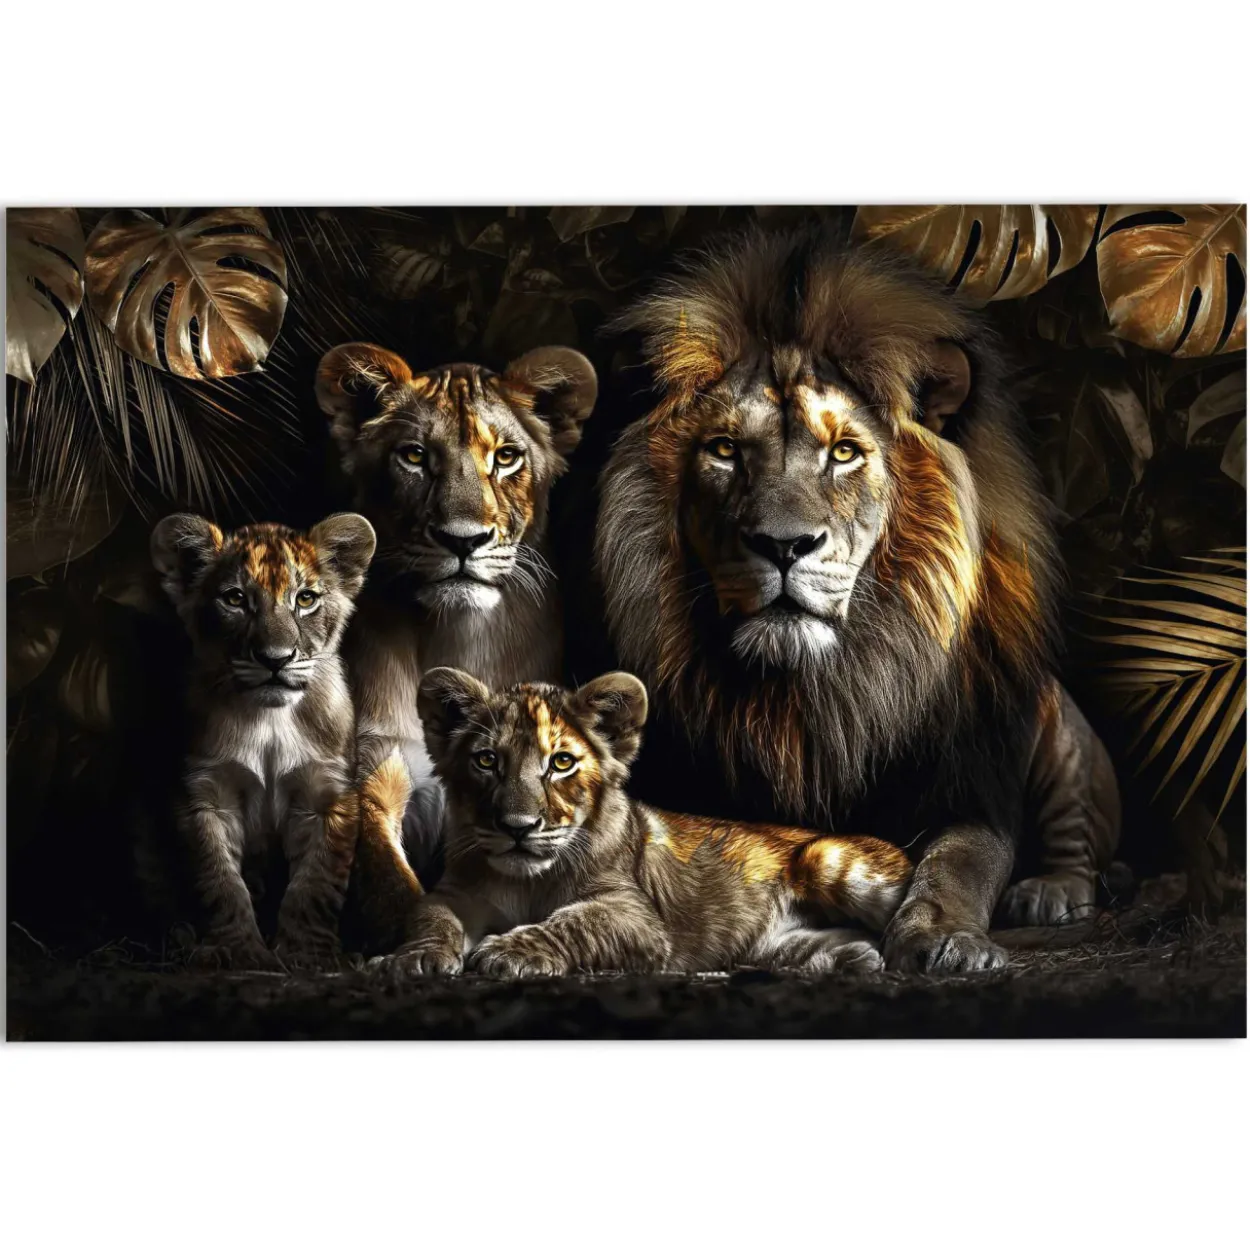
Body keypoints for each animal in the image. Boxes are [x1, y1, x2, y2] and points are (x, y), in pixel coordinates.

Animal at [316, 342, 597, 950]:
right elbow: (386, 876)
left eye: (507, 457)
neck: (454, 635)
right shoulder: (378, 763)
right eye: (415, 456)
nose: (462, 541)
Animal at [594, 226, 1121, 972]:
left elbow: (960, 864)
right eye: (724, 449)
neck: (815, 695)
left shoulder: (969, 784)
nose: (783, 545)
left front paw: (943, 934)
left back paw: (1049, 892)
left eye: (843, 453)